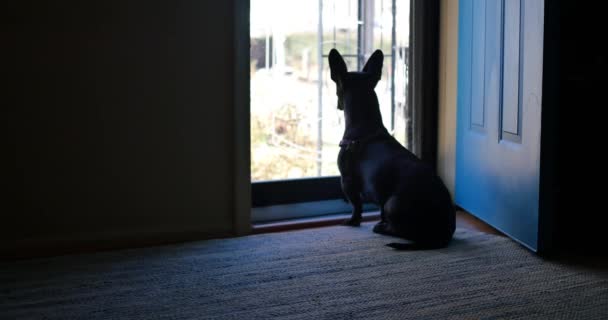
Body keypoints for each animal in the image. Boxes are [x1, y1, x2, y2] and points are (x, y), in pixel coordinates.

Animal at [330, 48, 454, 250]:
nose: (338, 105)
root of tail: (443, 235)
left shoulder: (347, 181)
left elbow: (356, 206)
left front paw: (352, 221)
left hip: (392, 203)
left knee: (403, 231)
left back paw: (382, 228)